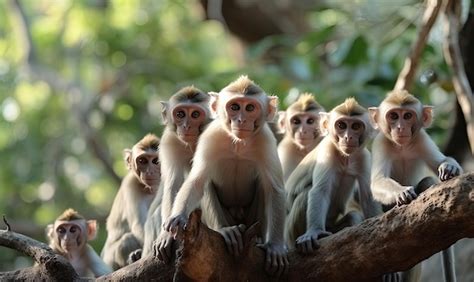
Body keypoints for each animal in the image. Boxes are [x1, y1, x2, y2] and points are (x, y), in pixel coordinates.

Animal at [100, 133, 161, 270]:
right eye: (142, 161)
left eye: (156, 161)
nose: (149, 171)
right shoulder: (131, 184)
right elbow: (139, 224)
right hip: (109, 261)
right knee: (127, 239)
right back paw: (135, 257)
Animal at [142, 85, 212, 262]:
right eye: (180, 114)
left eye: (195, 114)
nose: (186, 126)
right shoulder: (169, 141)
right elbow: (173, 184)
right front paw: (166, 235)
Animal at [163, 75, 288, 276]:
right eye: (235, 107)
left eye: (250, 108)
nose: (241, 120)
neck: (238, 144)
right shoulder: (210, 137)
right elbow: (197, 181)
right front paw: (178, 216)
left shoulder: (266, 141)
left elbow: (274, 189)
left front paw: (275, 247)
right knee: (206, 184)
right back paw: (226, 230)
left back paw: (257, 239)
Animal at [286, 98, 382, 252]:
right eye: (341, 125)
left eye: (356, 126)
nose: (348, 137)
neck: (346, 158)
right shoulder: (327, 153)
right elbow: (319, 191)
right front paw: (314, 232)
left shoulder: (364, 157)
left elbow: (368, 195)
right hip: (290, 232)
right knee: (305, 194)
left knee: (353, 216)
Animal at [368, 90, 462, 282]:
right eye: (393, 116)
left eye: (407, 116)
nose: (400, 128)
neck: (402, 147)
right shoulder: (381, 142)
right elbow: (378, 181)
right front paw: (401, 192)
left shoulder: (421, 138)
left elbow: (442, 161)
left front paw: (449, 166)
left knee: (428, 182)